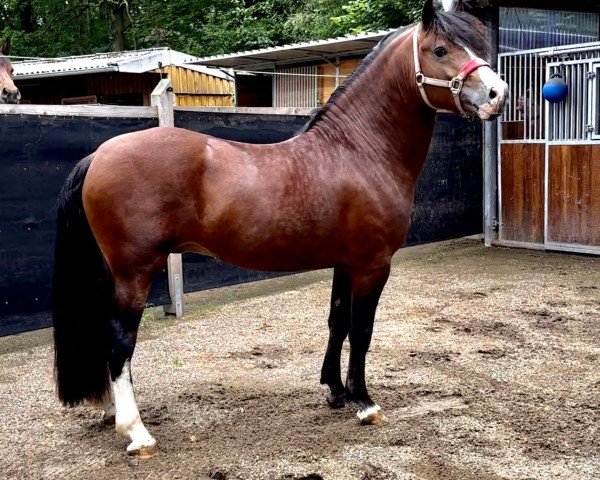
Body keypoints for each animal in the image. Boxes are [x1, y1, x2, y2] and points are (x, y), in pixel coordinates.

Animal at [52, 0, 506, 458]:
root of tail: (98, 154)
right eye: (441, 49)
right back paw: (136, 431)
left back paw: (112, 411)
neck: (358, 151)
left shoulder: (345, 263)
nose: (498, 94)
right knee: (119, 341)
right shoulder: (373, 265)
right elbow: (361, 330)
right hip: (136, 272)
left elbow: (337, 322)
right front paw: (364, 402)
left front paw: (336, 392)